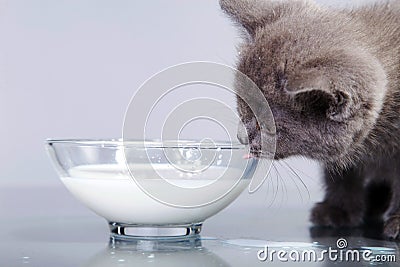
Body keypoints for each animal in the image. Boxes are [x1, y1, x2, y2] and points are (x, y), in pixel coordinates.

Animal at [220, 0, 400, 239]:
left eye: (267, 127)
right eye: (242, 108)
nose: (242, 137)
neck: (375, 144)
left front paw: (397, 222)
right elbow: (340, 175)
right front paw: (337, 210)